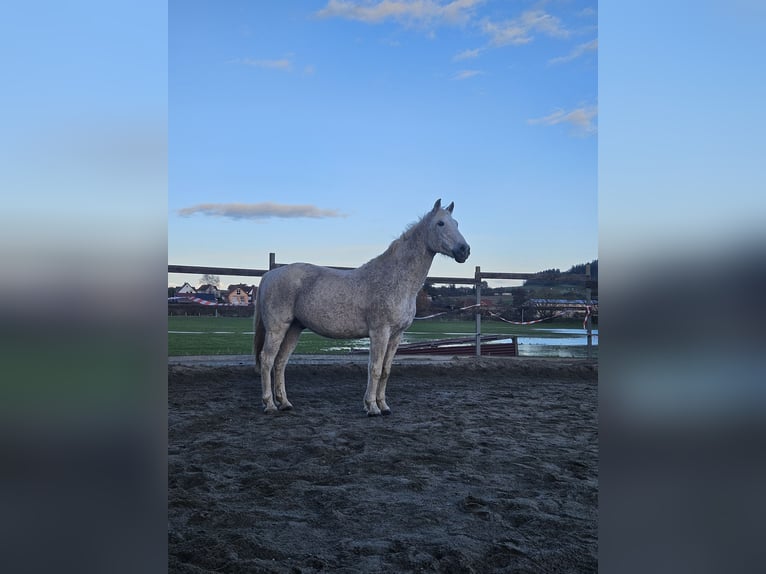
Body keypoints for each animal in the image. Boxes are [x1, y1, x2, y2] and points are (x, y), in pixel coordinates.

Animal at [253, 199, 470, 415]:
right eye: (440, 223)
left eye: (457, 223)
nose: (464, 250)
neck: (395, 279)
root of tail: (270, 274)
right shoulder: (380, 332)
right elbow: (374, 368)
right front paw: (372, 407)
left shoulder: (396, 335)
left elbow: (385, 370)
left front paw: (384, 406)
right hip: (277, 329)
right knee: (267, 360)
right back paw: (270, 404)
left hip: (294, 328)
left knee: (280, 362)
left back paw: (284, 403)